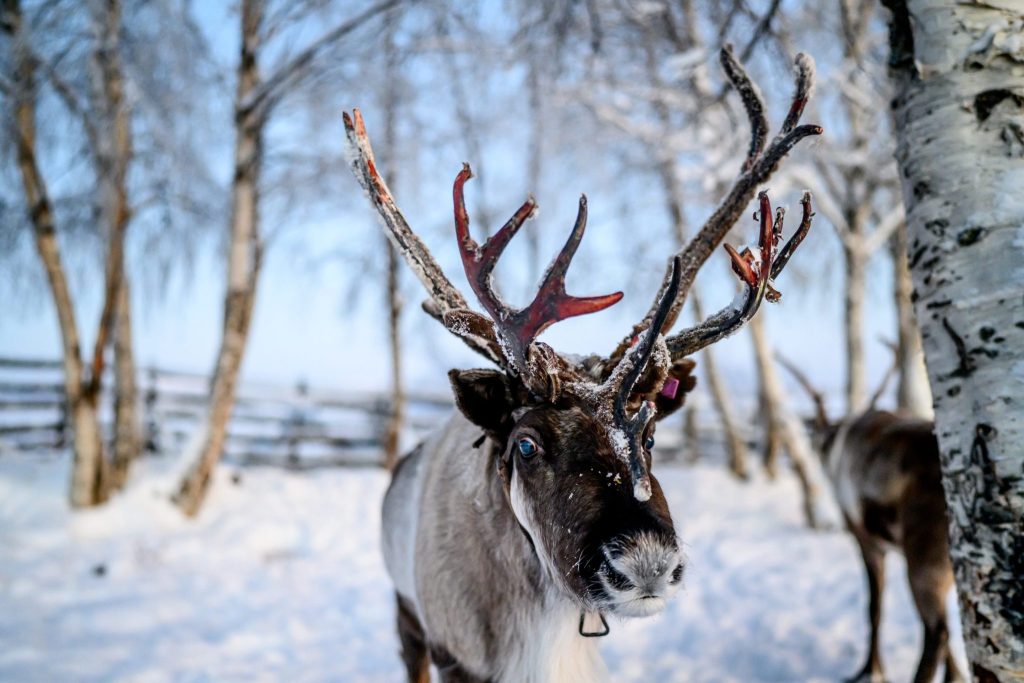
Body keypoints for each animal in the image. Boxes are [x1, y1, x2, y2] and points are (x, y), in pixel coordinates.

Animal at [778, 357, 964, 683]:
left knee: (937, 631)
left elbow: (873, 606)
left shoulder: (863, 537)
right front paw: (957, 676)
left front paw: (869, 669)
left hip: (925, 555)